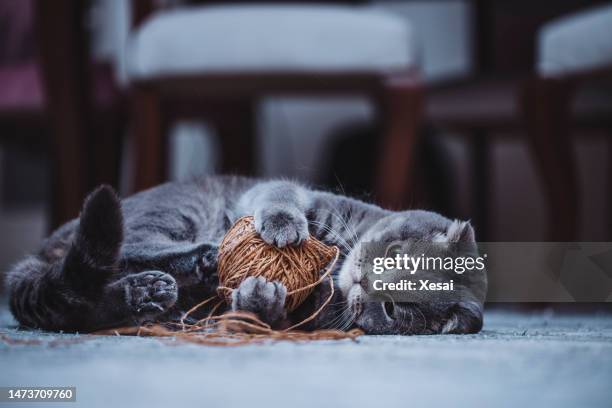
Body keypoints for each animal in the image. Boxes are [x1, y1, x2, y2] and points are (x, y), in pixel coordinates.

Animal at [3, 177, 482, 336]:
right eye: (397, 253)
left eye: (395, 308)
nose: (363, 282)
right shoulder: (289, 192)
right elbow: (280, 198)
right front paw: (285, 228)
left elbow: (271, 312)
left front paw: (262, 297)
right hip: (180, 209)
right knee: (127, 248)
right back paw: (202, 259)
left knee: (80, 303)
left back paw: (150, 291)